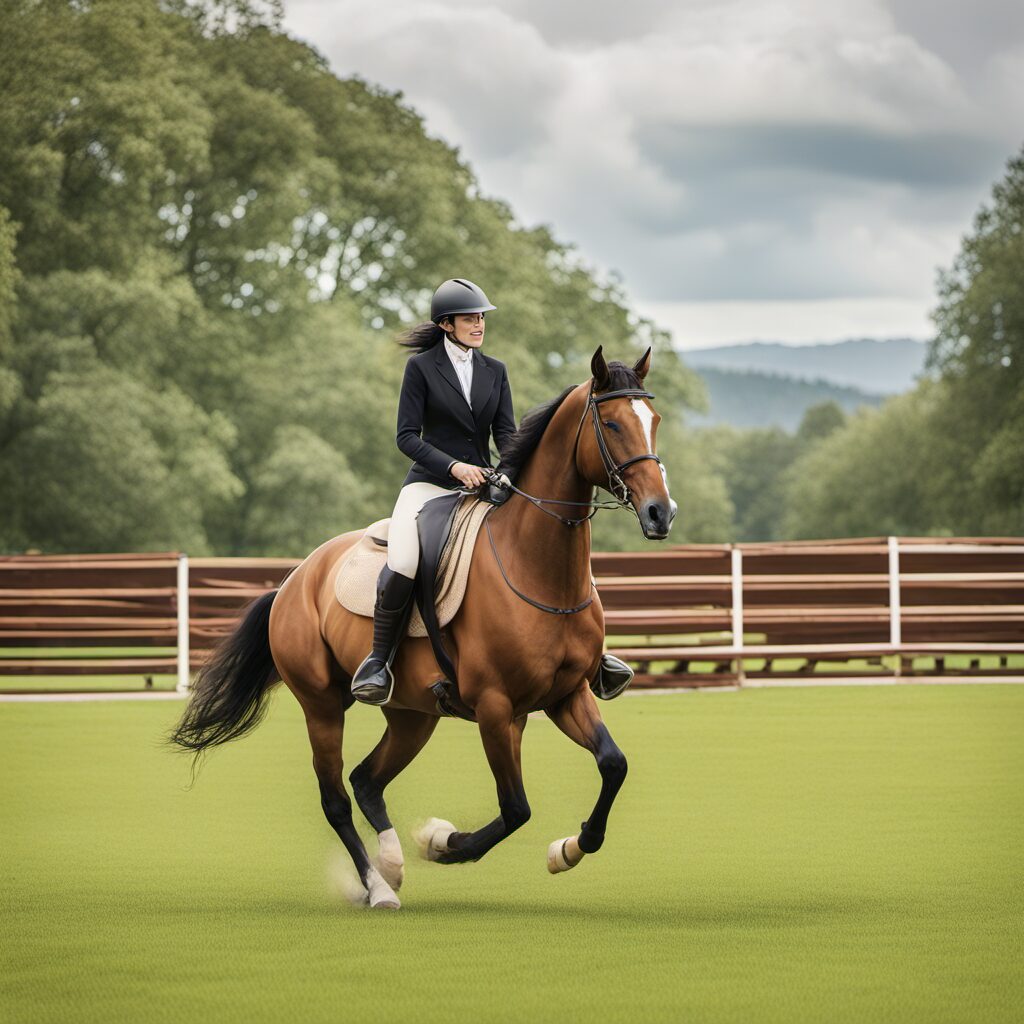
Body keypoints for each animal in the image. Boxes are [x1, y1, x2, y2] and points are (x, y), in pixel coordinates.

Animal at [170, 345, 676, 909]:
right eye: (611, 424)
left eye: (654, 421)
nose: (661, 513)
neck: (537, 568)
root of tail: (295, 578)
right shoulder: (496, 709)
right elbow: (515, 808)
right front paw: (441, 842)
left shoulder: (566, 695)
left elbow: (613, 764)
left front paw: (568, 848)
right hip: (321, 706)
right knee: (336, 797)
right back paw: (377, 886)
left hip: (413, 716)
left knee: (367, 780)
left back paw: (389, 866)